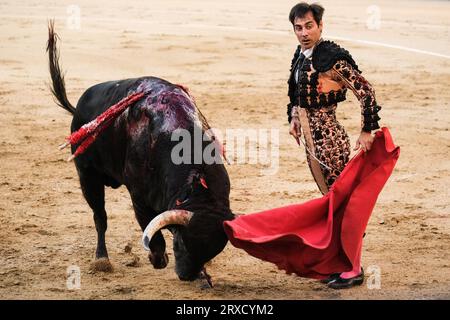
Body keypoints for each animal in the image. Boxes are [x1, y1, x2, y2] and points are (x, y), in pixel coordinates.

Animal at [47, 23, 234, 282]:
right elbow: (149, 228)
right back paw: (102, 259)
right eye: (181, 244)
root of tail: (79, 110)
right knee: (100, 217)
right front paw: (158, 259)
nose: (187, 276)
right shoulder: (139, 196)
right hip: (87, 176)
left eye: (212, 252)